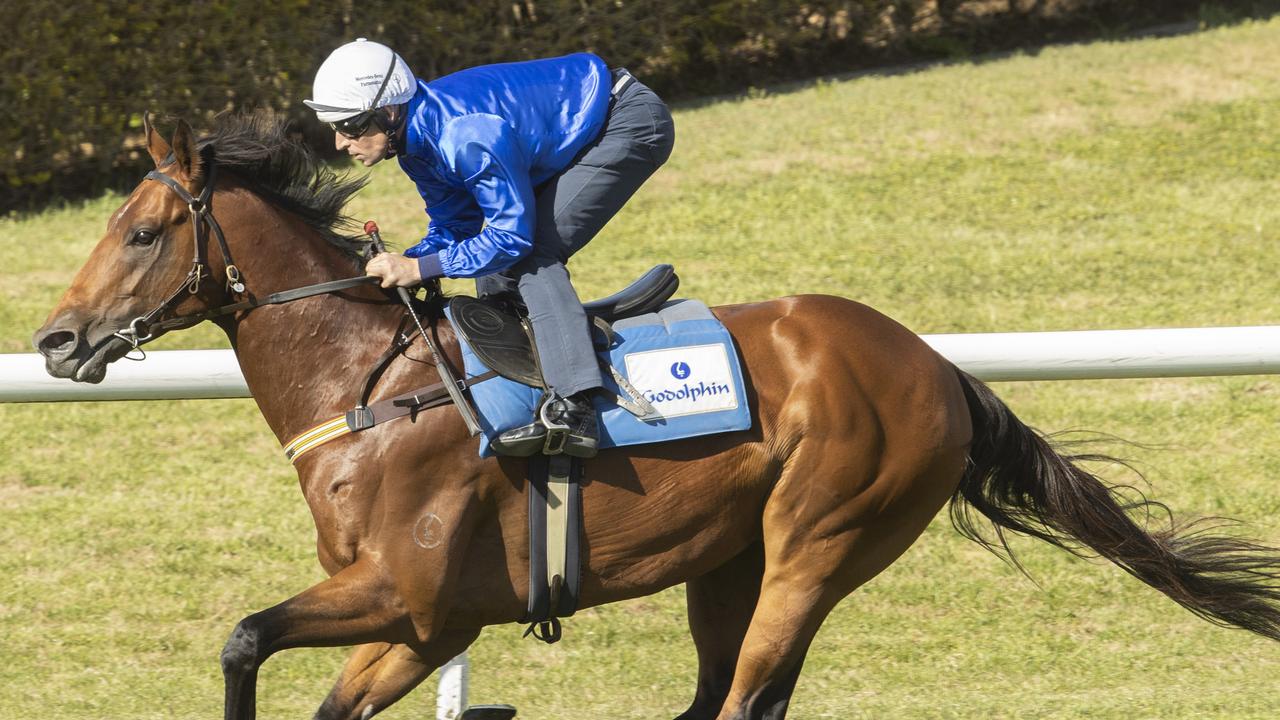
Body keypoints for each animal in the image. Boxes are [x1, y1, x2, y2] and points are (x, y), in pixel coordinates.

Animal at [30, 113, 1280, 717]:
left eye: (142, 231)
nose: (54, 341)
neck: (370, 388)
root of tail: (932, 364)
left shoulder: (406, 595)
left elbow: (242, 636)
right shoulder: (429, 624)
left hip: (815, 543)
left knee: (746, 700)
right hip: (725, 562)